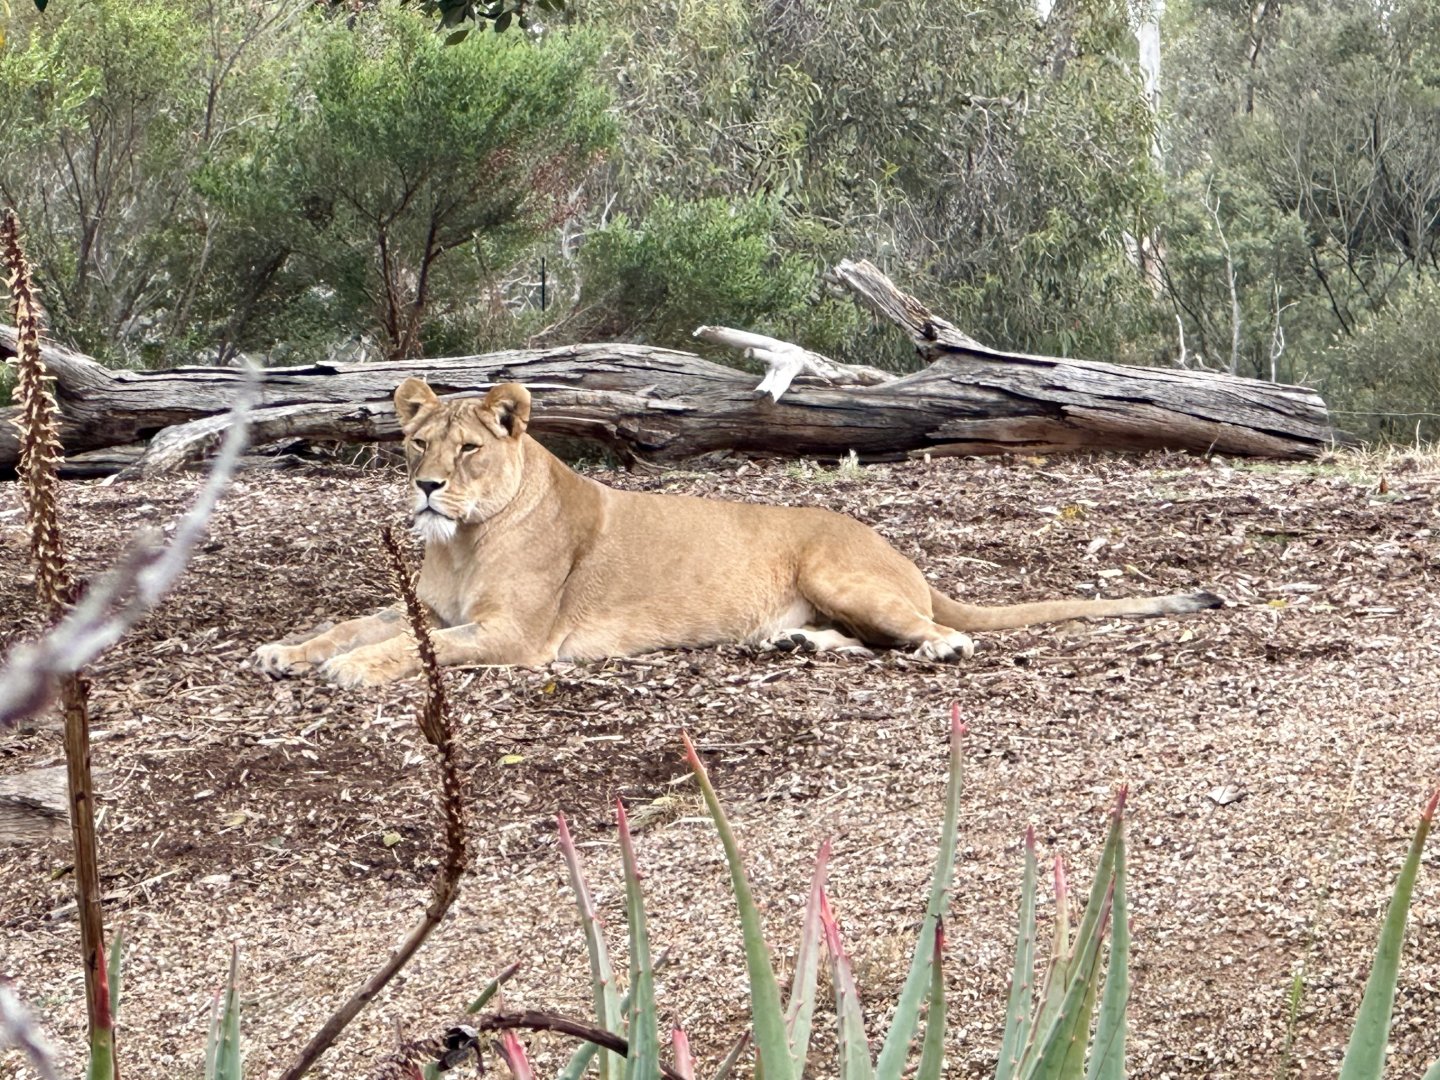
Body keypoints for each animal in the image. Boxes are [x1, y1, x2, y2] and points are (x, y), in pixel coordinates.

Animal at [252, 379, 1223, 687]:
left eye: (467, 450)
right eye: (418, 442)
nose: (425, 487)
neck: (458, 541)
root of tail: (898, 551)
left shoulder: (512, 635)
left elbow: (409, 651)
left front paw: (347, 671)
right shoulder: (435, 608)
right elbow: (352, 622)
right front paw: (285, 650)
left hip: (842, 575)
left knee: (930, 632)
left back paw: (937, 647)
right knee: (864, 638)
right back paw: (798, 648)